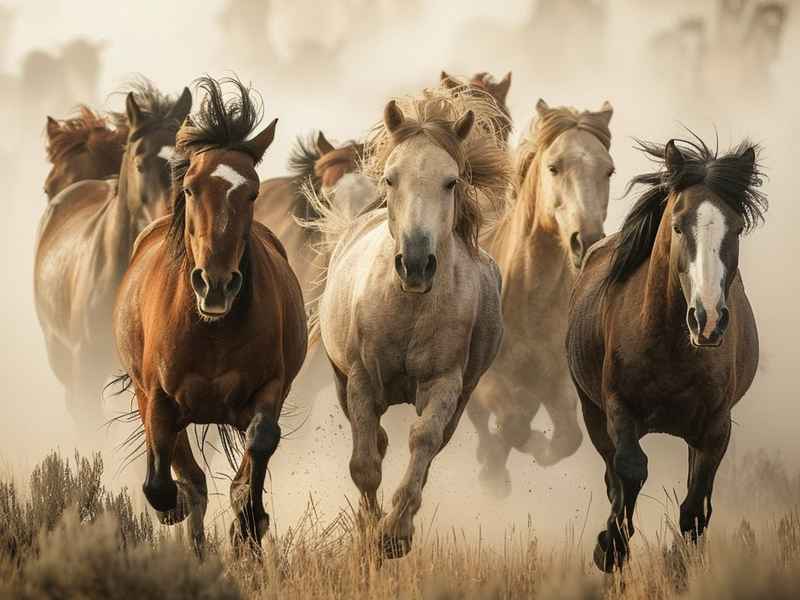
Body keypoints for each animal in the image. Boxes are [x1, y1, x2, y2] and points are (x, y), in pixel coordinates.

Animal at [113, 76, 307, 553]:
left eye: (252, 192)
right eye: (190, 188)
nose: (215, 284)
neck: (212, 330)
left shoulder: (270, 389)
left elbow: (258, 447)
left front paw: (250, 523)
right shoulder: (157, 398)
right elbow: (165, 483)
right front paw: (173, 510)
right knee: (188, 479)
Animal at [309, 88, 510, 558]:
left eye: (450, 181)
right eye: (390, 178)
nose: (416, 263)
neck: (409, 309)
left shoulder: (445, 383)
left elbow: (423, 441)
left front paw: (395, 533)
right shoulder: (361, 379)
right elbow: (365, 462)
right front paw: (369, 530)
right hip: (344, 384)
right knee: (374, 441)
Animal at [468, 99, 614, 496]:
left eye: (609, 170)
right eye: (554, 166)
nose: (587, 240)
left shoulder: (555, 382)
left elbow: (568, 438)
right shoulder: (488, 380)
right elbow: (512, 424)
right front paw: (500, 466)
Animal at [566, 135, 767, 572]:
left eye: (737, 228)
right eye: (678, 225)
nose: (708, 320)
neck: (672, 348)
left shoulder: (715, 427)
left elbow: (696, 505)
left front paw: (679, 564)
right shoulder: (618, 408)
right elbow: (630, 471)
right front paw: (610, 548)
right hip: (592, 413)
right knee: (612, 475)